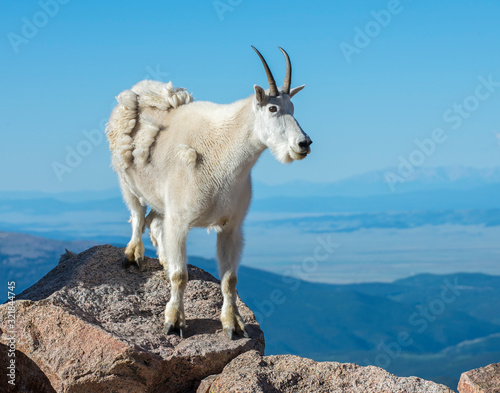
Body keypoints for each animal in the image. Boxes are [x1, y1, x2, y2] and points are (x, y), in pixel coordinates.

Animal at [106, 47, 312, 338]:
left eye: (292, 107)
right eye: (272, 108)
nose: (304, 143)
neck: (226, 151)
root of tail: (138, 90)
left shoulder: (230, 226)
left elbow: (230, 279)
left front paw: (233, 325)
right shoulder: (180, 220)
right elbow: (181, 276)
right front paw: (174, 322)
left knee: (154, 221)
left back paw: (164, 260)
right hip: (126, 180)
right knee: (137, 215)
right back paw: (133, 256)